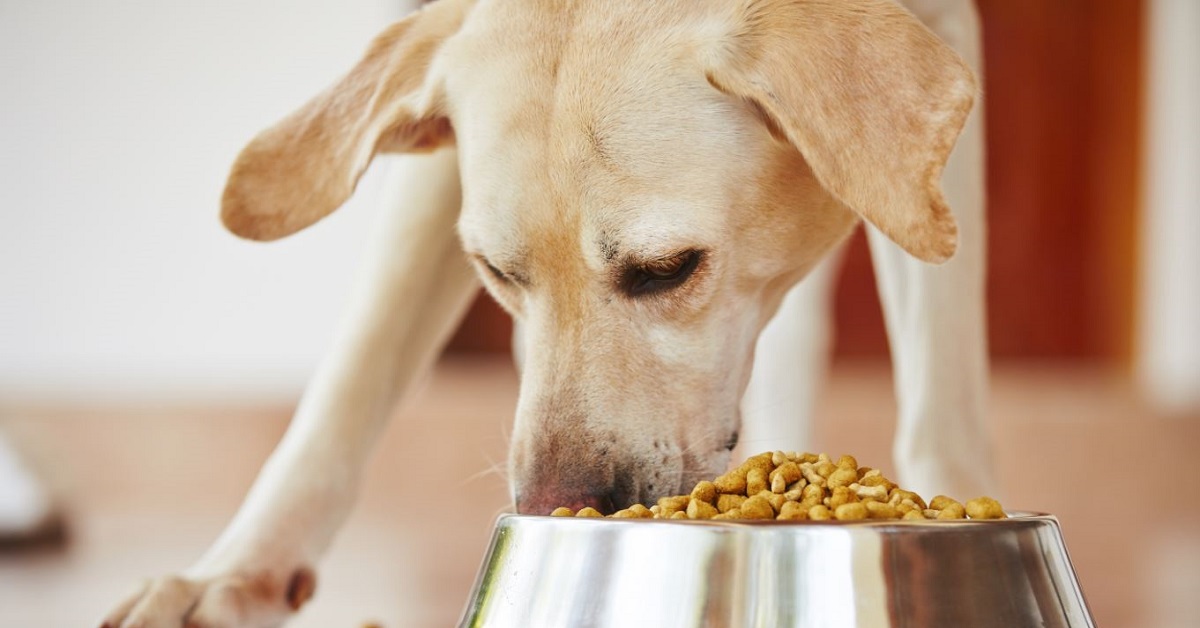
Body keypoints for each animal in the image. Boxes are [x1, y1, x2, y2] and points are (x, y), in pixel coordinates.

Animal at [100, 0, 993, 624]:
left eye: (668, 269)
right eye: (496, 272)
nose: (543, 509)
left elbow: (941, 390)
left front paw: (949, 508)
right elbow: (354, 374)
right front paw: (233, 572)